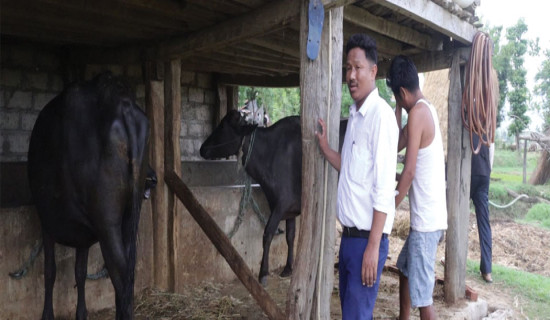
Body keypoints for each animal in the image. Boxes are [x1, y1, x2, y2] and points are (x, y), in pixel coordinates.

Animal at [28, 73, 151, 320]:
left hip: (107, 222)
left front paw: (47, 314)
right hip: (129, 217)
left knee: (120, 274)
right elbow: (80, 272)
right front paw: (81, 313)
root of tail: (122, 105)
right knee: (128, 273)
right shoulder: (83, 235)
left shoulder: (46, 220)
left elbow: (50, 270)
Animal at [201, 110, 348, 284]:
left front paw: (263, 273)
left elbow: (268, 233)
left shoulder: (281, 203)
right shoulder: (288, 208)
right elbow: (290, 235)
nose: (202, 148)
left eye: (223, 127)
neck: (270, 152)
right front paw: (288, 268)